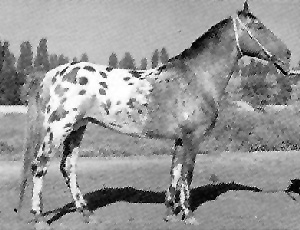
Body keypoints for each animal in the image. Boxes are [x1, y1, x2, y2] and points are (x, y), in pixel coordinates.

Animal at [14, 1, 290, 228]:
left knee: (67, 167)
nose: (287, 55)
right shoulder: (193, 138)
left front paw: (170, 212)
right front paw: (188, 215)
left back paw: (86, 213)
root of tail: (55, 74)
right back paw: (39, 217)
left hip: (78, 127)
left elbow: (175, 172)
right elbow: (187, 174)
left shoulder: (180, 139)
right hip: (59, 127)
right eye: (259, 26)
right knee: (40, 165)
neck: (197, 77)